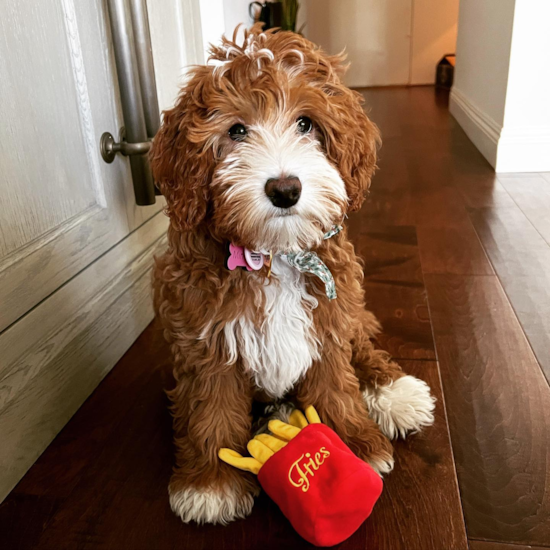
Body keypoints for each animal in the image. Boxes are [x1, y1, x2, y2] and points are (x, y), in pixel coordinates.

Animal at [151, 25, 436, 528]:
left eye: (306, 124)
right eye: (237, 131)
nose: (285, 189)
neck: (276, 254)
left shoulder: (328, 320)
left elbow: (337, 386)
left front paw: (354, 444)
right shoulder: (206, 337)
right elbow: (211, 410)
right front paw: (210, 483)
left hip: (352, 307)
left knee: (362, 347)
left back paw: (395, 391)